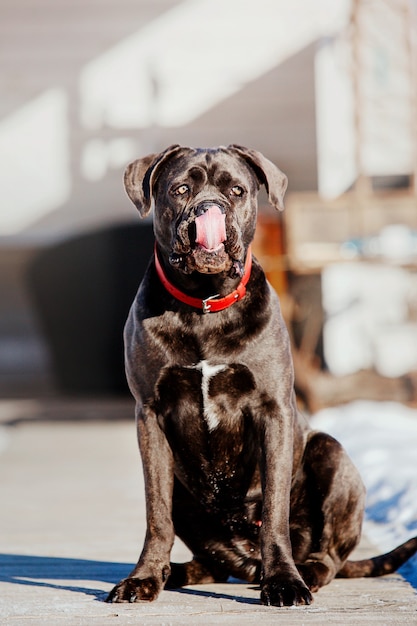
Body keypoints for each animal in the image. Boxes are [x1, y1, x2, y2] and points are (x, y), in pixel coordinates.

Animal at [106, 144, 416, 604]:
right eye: (180, 189)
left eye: (236, 190)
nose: (209, 208)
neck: (204, 305)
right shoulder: (151, 415)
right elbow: (157, 512)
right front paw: (142, 577)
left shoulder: (273, 411)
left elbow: (274, 509)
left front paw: (284, 582)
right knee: (211, 563)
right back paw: (172, 572)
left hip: (332, 453)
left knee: (328, 556)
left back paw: (304, 571)